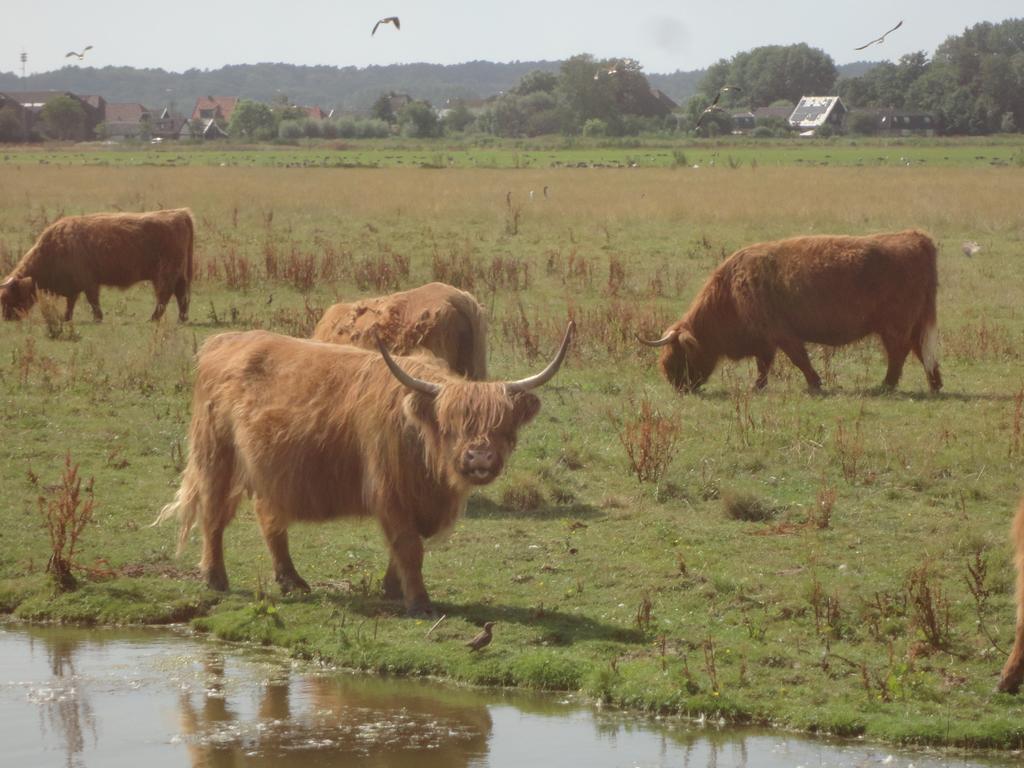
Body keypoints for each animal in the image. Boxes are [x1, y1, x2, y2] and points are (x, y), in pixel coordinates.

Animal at [0, 207, 194, 321]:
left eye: (7, 297)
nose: (7, 318)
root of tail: (179, 213)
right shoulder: (74, 285)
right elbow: (71, 302)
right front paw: (66, 317)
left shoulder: (88, 281)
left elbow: (92, 300)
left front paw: (98, 318)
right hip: (178, 273)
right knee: (181, 293)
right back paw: (182, 317)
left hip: (165, 272)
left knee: (165, 294)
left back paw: (154, 318)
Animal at [157, 321, 577, 618]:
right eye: (450, 425)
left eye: (503, 425)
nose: (479, 458)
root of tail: (224, 341)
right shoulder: (389, 492)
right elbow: (408, 546)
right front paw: (419, 602)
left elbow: (405, 547)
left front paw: (392, 590)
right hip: (217, 456)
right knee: (213, 514)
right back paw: (215, 578)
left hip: (268, 471)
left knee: (269, 519)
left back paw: (291, 580)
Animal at [638, 230, 942, 393]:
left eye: (676, 354)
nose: (677, 385)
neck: (730, 293)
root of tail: (916, 238)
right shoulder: (764, 340)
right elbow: (764, 365)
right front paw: (758, 386)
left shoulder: (780, 334)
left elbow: (798, 360)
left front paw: (815, 384)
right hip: (915, 323)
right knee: (921, 350)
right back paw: (935, 383)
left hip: (895, 325)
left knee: (899, 352)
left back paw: (887, 385)